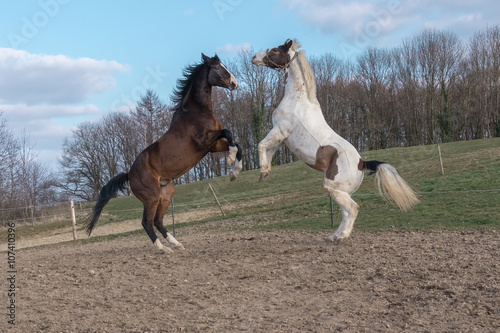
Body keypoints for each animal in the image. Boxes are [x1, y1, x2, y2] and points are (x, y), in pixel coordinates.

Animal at [86, 53, 242, 252]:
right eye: (216, 67)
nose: (234, 83)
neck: (196, 112)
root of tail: (129, 174)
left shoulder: (212, 146)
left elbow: (237, 144)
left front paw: (235, 171)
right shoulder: (204, 142)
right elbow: (229, 133)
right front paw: (230, 159)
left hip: (166, 195)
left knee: (158, 221)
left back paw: (177, 244)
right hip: (151, 197)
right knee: (147, 222)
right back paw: (163, 249)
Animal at [252, 39, 420, 243]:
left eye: (275, 50)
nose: (254, 57)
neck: (297, 100)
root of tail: (362, 163)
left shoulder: (279, 131)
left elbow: (260, 145)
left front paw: (263, 172)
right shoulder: (282, 139)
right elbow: (267, 151)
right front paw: (265, 173)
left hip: (333, 187)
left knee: (353, 209)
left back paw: (341, 237)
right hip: (340, 191)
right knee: (345, 213)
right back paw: (334, 236)